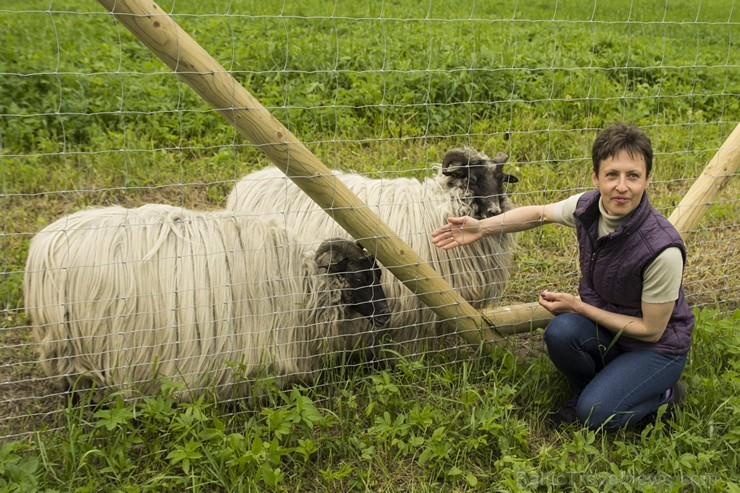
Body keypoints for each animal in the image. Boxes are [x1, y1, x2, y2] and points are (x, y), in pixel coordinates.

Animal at [23, 204, 390, 400]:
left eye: (378, 273)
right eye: (361, 277)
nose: (387, 315)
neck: (305, 284)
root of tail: (42, 248)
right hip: (74, 342)